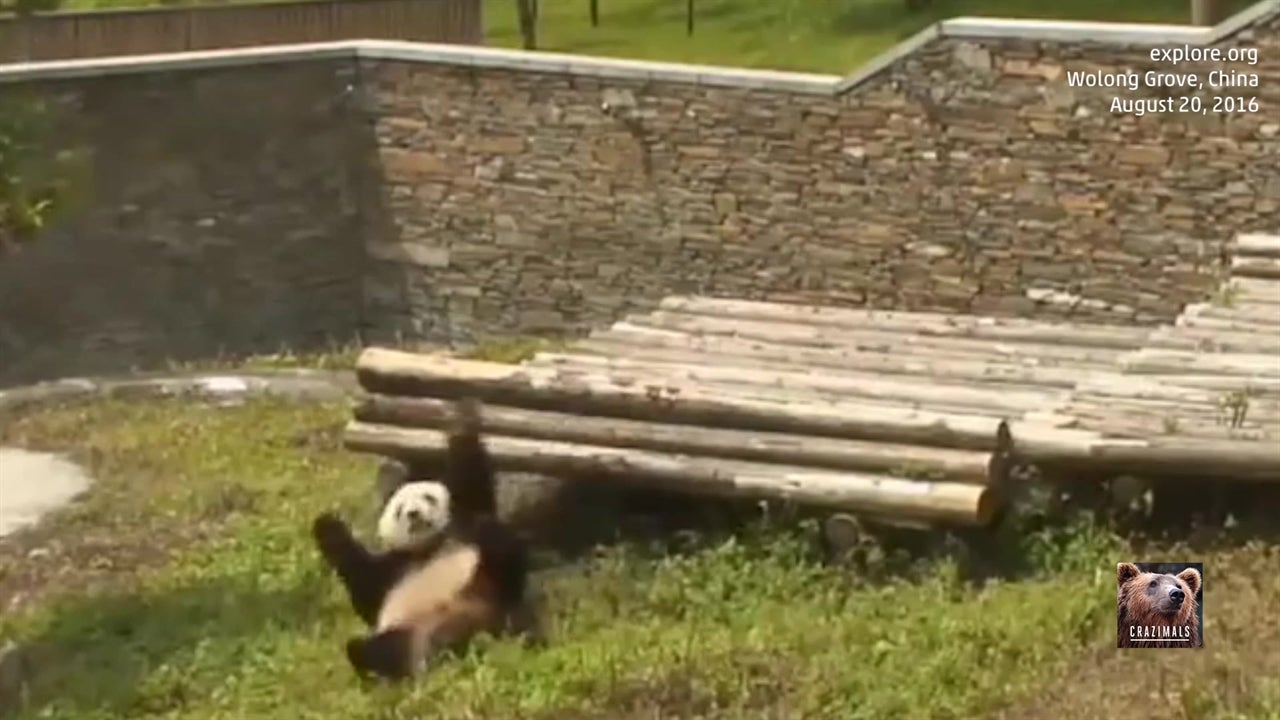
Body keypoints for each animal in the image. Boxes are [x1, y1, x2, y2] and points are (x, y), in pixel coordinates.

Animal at [311, 397, 539, 681]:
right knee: (369, 649)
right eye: (399, 510)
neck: (428, 546)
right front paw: (327, 527)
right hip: (411, 630)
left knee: (514, 603)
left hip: (491, 601)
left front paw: (460, 424)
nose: (414, 514)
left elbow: (474, 490)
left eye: (428, 498)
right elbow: (367, 597)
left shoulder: (463, 524)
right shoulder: (393, 569)